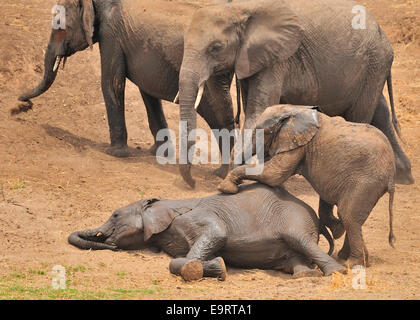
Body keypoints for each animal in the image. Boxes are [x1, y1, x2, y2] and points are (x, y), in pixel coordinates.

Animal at [68, 182, 344, 280]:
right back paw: (304, 275)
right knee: (293, 258)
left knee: (300, 240)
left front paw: (215, 267)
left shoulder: (197, 218)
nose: (109, 243)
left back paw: (336, 273)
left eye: (115, 215)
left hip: (294, 219)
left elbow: (217, 234)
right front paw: (214, 265)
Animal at [177, 0, 414, 188]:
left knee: (361, 115)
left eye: (216, 47)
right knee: (380, 111)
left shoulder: (277, 58)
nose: (193, 183)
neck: (240, 8)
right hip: (372, 71)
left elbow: (259, 111)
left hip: (374, 64)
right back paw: (404, 177)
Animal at [220, 105, 398, 268]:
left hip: (366, 181)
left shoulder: (297, 146)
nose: (234, 187)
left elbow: (274, 174)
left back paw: (351, 263)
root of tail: (392, 174)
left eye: (259, 132)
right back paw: (351, 257)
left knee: (349, 215)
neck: (294, 109)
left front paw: (225, 188)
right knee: (352, 217)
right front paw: (337, 229)